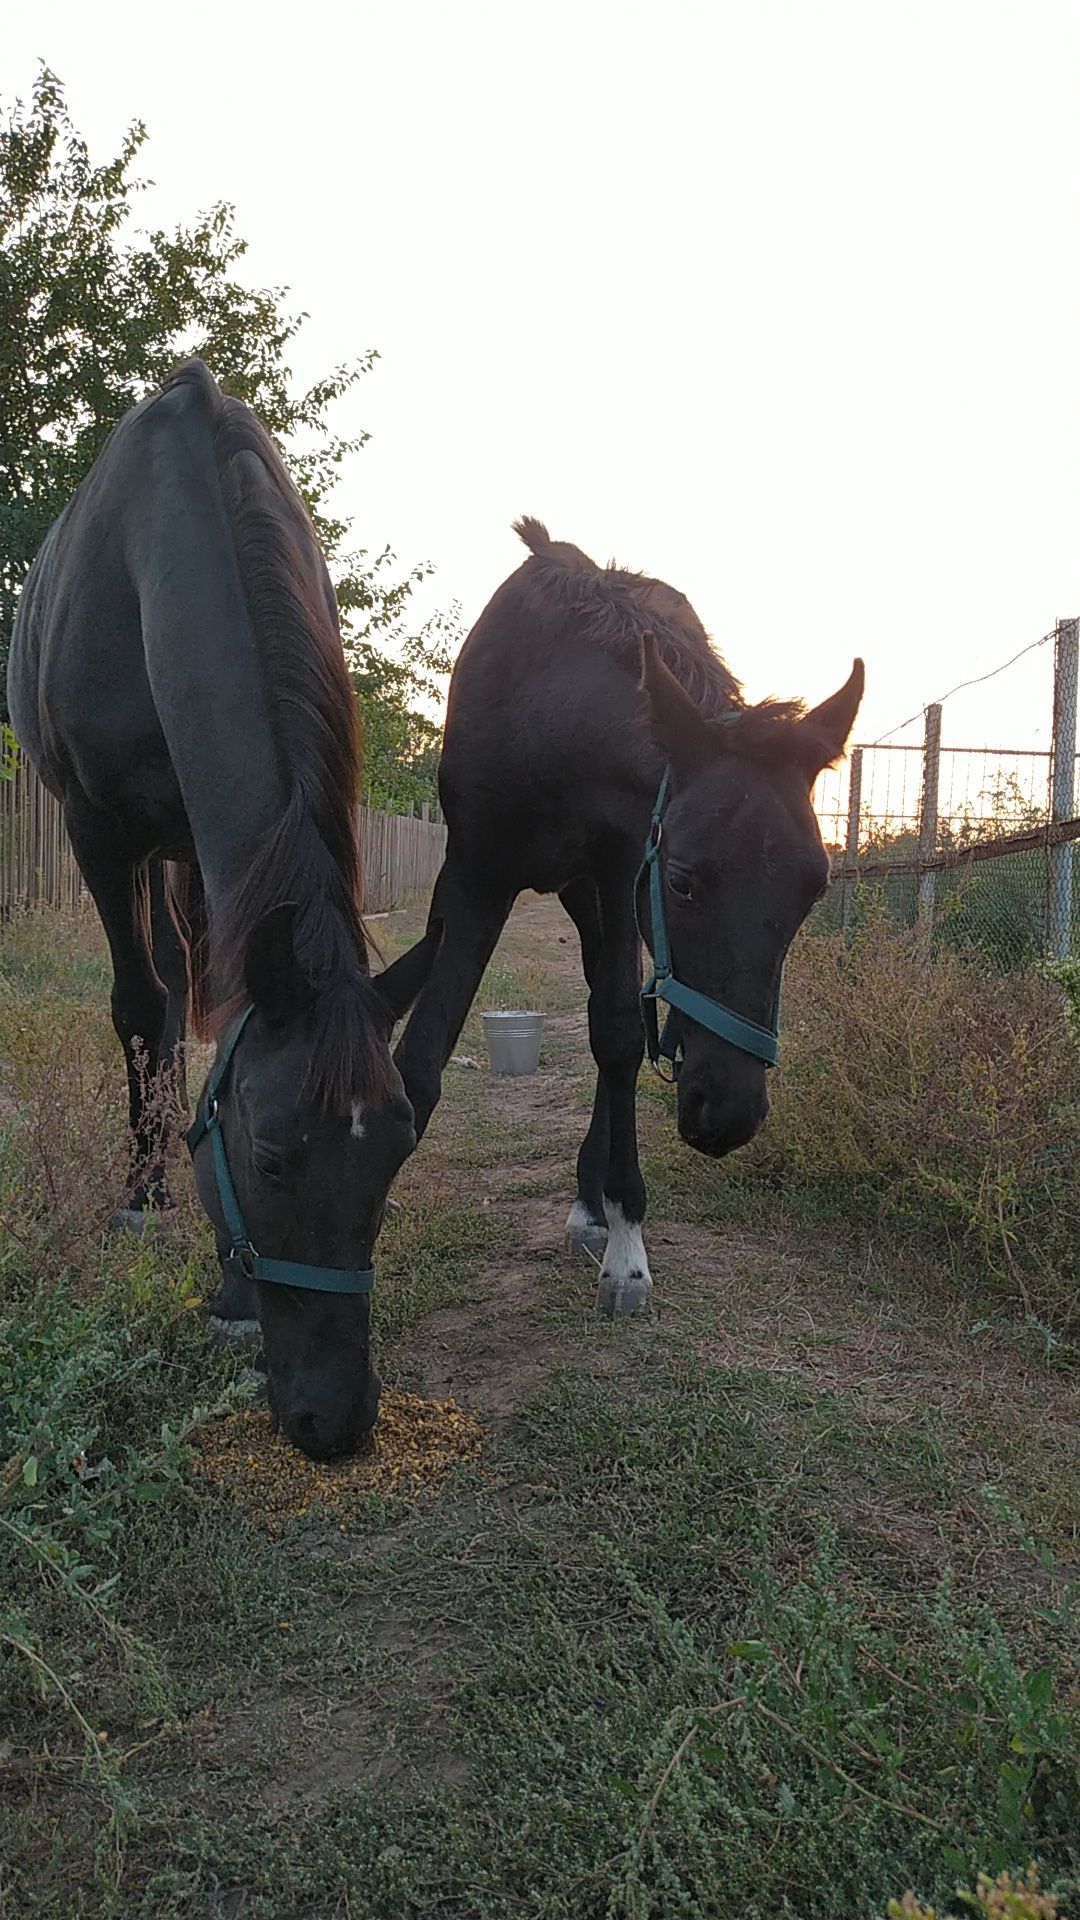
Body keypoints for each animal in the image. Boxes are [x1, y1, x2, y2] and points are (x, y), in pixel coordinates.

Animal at [7, 360, 438, 1451]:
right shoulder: (97, 829)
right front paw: (145, 1198)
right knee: (157, 997)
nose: (338, 1422)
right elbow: (135, 1006)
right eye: (273, 1158)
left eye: (400, 1152)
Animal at [399, 518, 860, 1313]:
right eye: (681, 881)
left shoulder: (617, 871)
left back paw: (593, 1207)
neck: (550, 710)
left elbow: (615, 1034)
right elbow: (420, 1049)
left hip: (595, 896)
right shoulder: (474, 874)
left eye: (815, 891)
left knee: (609, 1023)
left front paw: (625, 1244)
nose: (726, 1113)